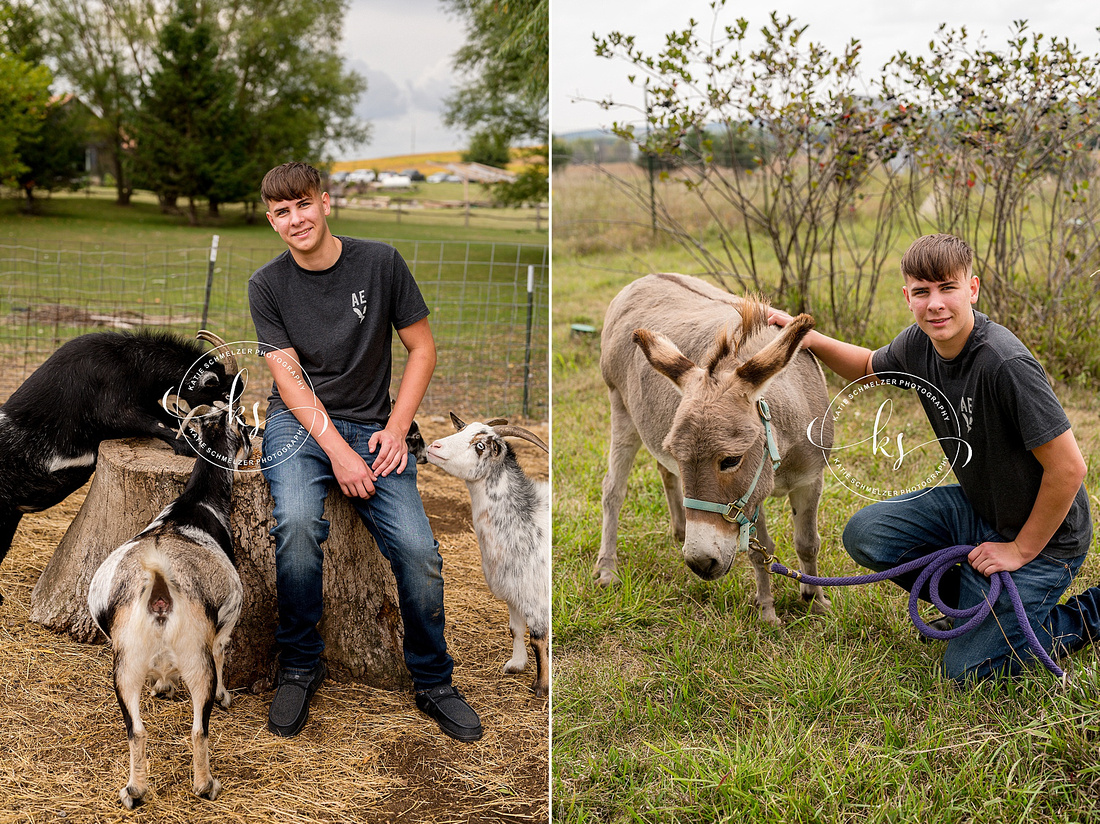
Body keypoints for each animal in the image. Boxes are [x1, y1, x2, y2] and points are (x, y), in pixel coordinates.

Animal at [0, 327, 238, 598]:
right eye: (223, 393)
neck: (131, 361)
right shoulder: (115, 409)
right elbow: (153, 424)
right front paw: (189, 446)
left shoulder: (145, 402)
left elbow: (168, 417)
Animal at [88, 382, 251, 805]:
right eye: (244, 427)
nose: (253, 443)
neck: (194, 504)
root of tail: (159, 588)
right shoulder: (225, 623)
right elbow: (223, 652)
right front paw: (226, 696)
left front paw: (162, 686)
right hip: (196, 660)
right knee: (198, 728)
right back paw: (206, 786)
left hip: (125, 665)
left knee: (136, 730)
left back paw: (135, 790)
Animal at [426, 411, 550, 695]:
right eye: (461, 430)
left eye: (480, 446)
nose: (434, 446)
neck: (525, 518)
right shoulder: (514, 593)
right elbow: (515, 629)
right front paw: (516, 664)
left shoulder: (536, 596)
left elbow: (538, 639)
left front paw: (542, 686)